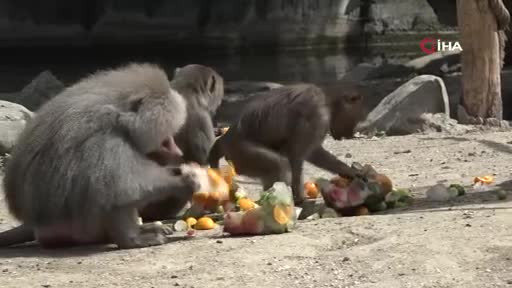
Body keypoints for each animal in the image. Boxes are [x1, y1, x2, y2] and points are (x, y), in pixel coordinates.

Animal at [0, 63, 205, 250]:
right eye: (165, 141)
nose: (178, 153)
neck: (119, 115)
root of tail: (36, 227)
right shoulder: (106, 140)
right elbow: (127, 185)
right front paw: (185, 181)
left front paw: (179, 172)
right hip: (80, 228)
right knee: (111, 192)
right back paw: (134, 240)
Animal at [209, 81, 368, 205]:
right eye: (355, 118)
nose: (349, 134)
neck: (327, 100)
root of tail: (226, 138)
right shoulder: (316, 114)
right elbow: (298, 155)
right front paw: (300, 198)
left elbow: (312, 153)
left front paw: (352, 172)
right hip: (241, 154)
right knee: (279, 165)